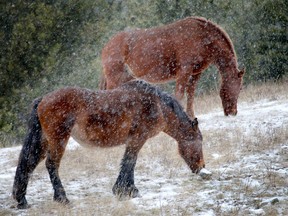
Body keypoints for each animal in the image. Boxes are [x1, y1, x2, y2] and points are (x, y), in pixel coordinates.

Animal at [11, 80, 205, 208]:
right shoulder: (138, 139)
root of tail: (43, 100)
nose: (201, 167)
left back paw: (22, 200)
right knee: (51, 165)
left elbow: (129, 162)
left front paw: (125, 190)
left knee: (29, 164)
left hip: (44, 141)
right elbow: (130, 162)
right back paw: (62, 198)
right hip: (59, 140)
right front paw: (127, 190)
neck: (156, 104)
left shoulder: (133, 140)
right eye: (199, 142)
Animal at [100, 16, 244, 118]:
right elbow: (179, 94)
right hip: (115, 78)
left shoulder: (195, 73)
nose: (233, 112)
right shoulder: (184, 71)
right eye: (239, 88)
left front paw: (191, 116)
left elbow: (190, 94)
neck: (202, 37)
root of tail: (107, 46)